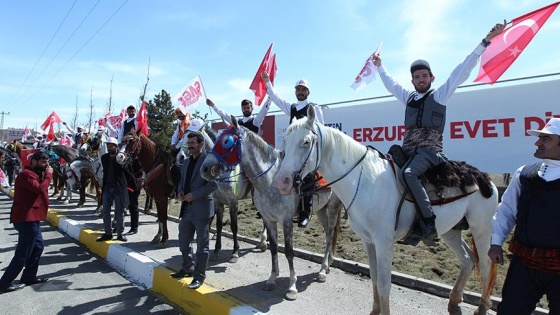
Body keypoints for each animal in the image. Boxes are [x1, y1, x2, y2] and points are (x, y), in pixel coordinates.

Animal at [199, 120, 344, 302]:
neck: (270, 180)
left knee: (330, 235)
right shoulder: (268, 218)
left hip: (332, 208)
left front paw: (292, 287)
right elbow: (274, 248)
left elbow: (289, 252)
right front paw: (272, 278)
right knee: (327, 235)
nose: (204, 169)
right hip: (321, 210)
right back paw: (328, 264)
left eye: (226, 141)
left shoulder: (286, 220)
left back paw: (323, 269)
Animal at [274, 107, 496, 315]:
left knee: (485, 264)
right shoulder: (368, 241)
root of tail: (482, 177)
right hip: (451, 231)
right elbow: (373, 278)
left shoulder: (384, 242)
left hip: (481, 228)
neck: (364, 181)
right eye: (285, 142)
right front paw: (374, 310)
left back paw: (481, 307)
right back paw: (454, 301)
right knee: (468, 260)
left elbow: (384, 283)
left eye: (305, 142)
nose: (282, 182)